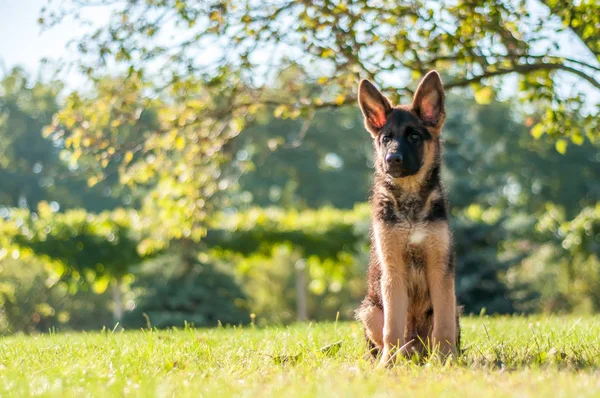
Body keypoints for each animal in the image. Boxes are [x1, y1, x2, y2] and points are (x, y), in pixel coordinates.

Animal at [354, 70, 462, 366]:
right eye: (386, 138)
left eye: (414, 137)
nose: (393, 159)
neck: (410, 200)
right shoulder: (393, 271)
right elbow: (392, 327)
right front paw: (387, 365)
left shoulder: (440, 271)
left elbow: (443, 327)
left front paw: (446, 360)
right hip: (369, 309)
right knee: (392, 336)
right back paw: (395, 357)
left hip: (454, 307)